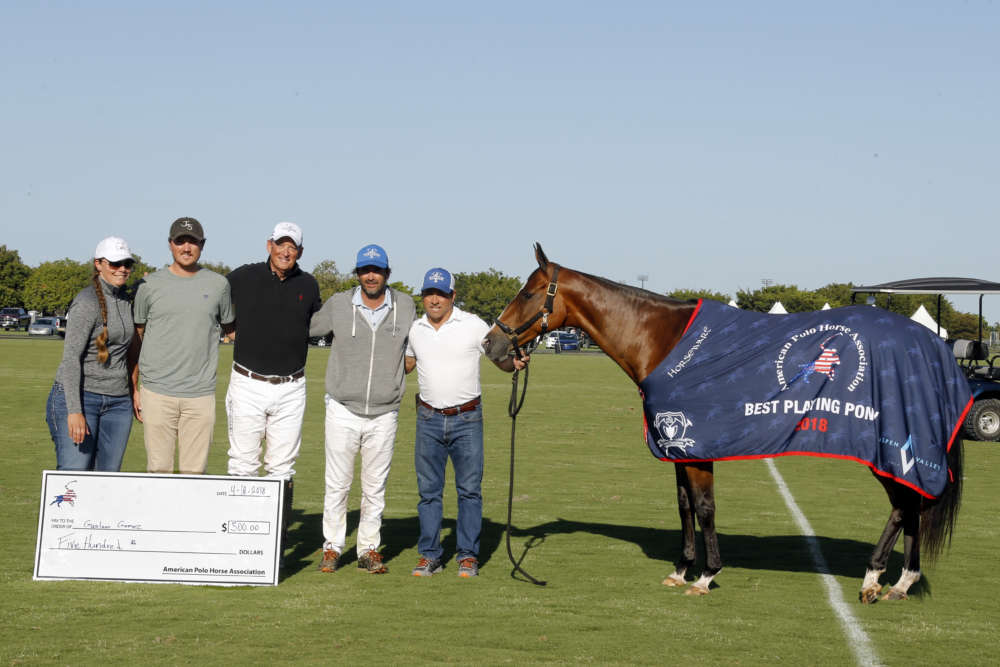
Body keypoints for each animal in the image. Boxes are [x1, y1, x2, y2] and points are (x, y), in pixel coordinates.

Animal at [480, 243, 964, 604]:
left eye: (528, 293)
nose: (490, 344)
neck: (663, 340)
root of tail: (930, 346)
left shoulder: (699, 448)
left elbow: (705, 507)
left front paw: (706, 576)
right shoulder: (679, 448)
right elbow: (684, 506)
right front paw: (681, 569)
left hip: (889, 446)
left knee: (904, 505)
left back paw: (874, 579)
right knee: (914, 505)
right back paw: (902, 582)